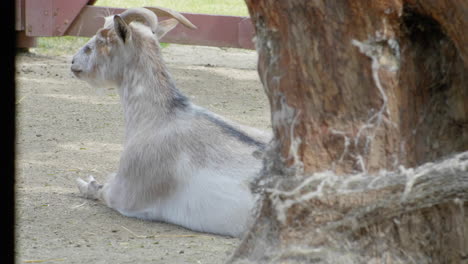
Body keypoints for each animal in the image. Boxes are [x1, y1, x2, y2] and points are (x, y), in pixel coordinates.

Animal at [71, 6, 268, 237]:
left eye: (104, 38)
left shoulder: (125, 195)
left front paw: (86, 183)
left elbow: (100, 189)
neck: (159, 118)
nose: (73, 61)